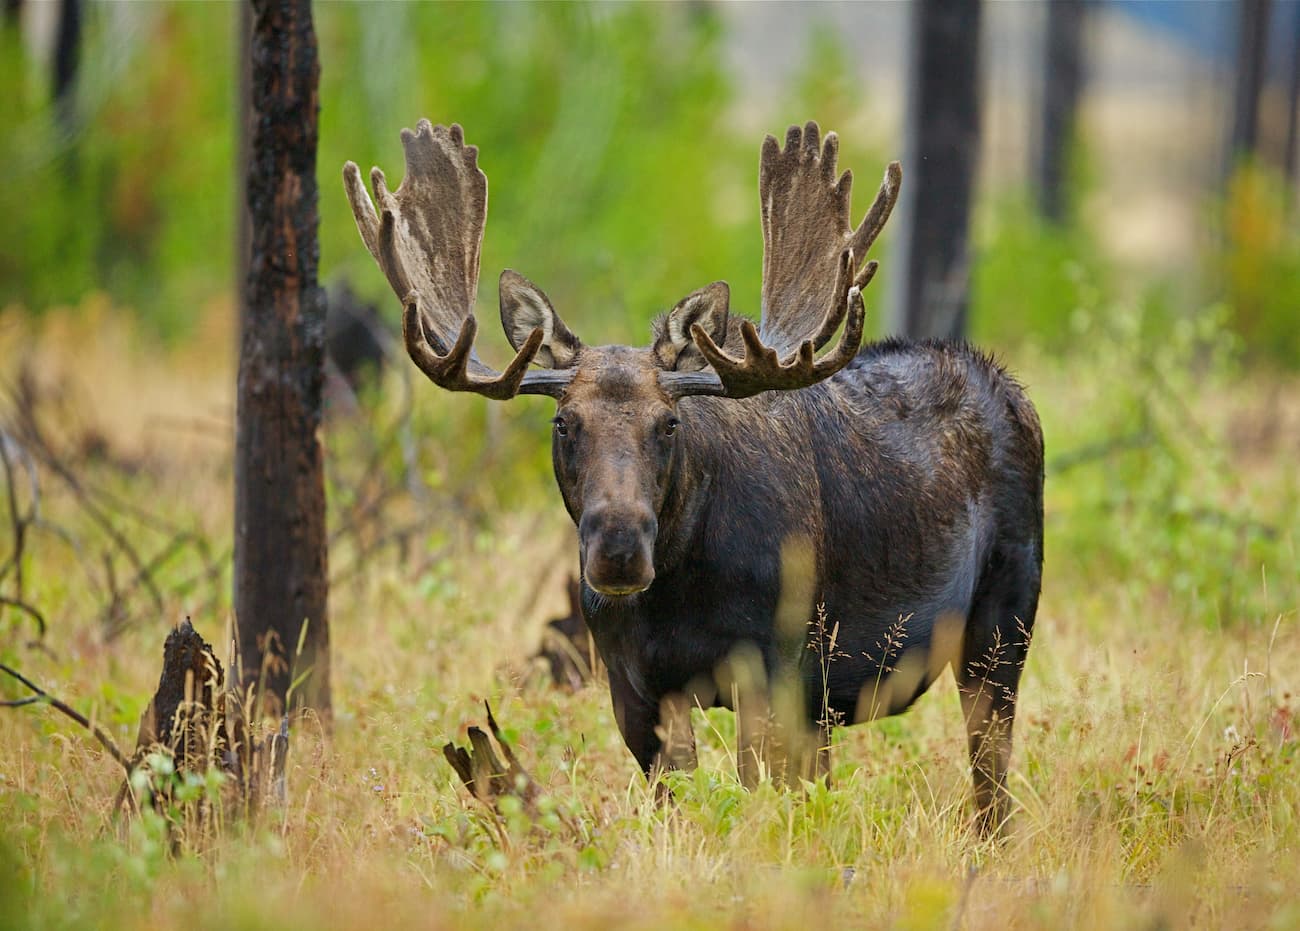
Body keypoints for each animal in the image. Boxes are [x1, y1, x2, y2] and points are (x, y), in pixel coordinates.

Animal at [343, 120, 1043, 835]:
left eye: (670, 423)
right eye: (564, 422)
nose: (618, 550)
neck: (678, 592)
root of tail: (1011, 388)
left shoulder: (771, 665)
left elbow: (756, 795)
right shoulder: (637, 686)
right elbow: (677, 799)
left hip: (1003, 619)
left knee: (990, 771)